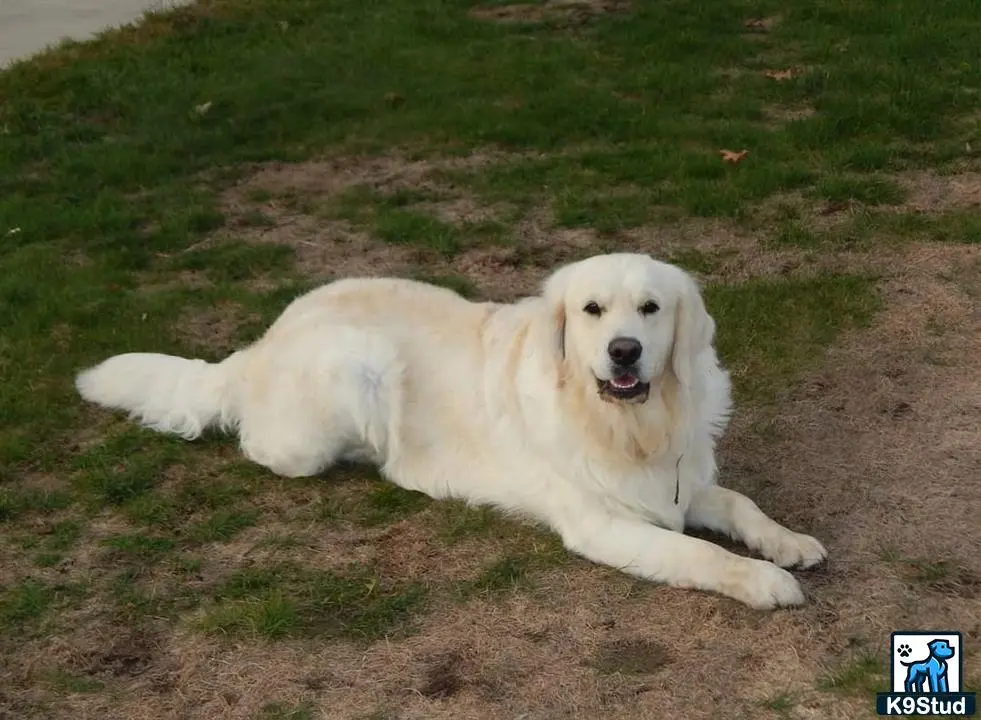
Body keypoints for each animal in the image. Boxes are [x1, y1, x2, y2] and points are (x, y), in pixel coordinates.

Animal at [78, 253, 828, 608]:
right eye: (592, 310)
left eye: (650, 309)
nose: (624, 352)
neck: (630, 423)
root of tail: (262, 343)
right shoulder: (603, 523)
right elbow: (700, 554)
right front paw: (762, 581)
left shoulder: (680, 480)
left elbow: (741, 504)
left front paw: (787, 542)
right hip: (354, 372)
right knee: (263, 443)